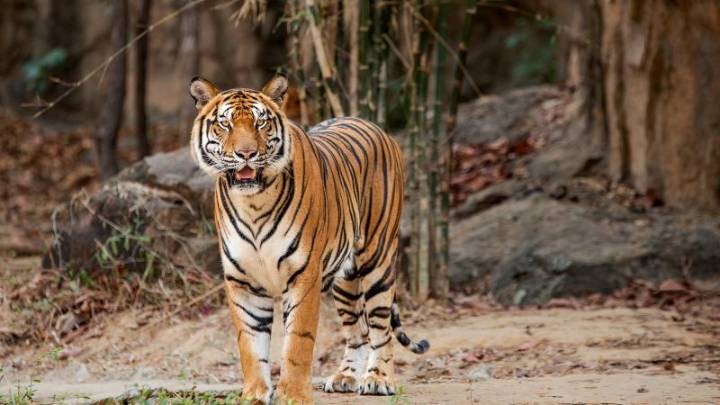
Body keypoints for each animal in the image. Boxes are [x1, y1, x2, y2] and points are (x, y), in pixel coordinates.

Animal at [189, 74, 429, 405]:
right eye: (225, 124)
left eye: (261, 123)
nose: (246, 154)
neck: (253, 203)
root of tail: (376, 126)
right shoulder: (242, 281)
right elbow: (249, 344)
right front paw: (254, 394)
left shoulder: (303, 275)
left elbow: (297, 342)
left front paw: (292, 394)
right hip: (346, 279)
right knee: (358, 331)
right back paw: (345, 378)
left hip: (377, 261)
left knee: (381, 329)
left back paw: (378, 380)